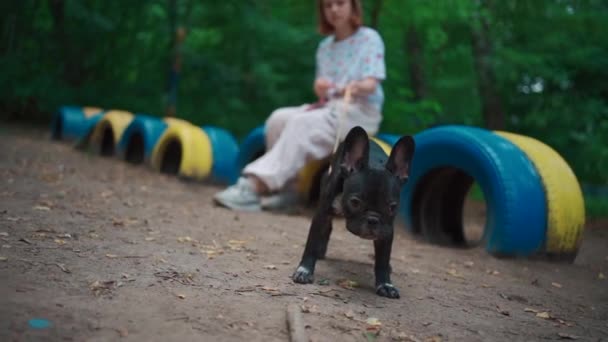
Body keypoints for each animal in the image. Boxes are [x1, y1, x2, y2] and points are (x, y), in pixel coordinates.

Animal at [292, 126, 416, 300]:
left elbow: (383, 260)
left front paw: (385, 284)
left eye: (392, 207)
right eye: (355, 202)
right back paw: (320, 252)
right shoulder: (321, 215)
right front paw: (305, 270)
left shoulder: (387, 231)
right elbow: (311, 243)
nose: (373, 219)